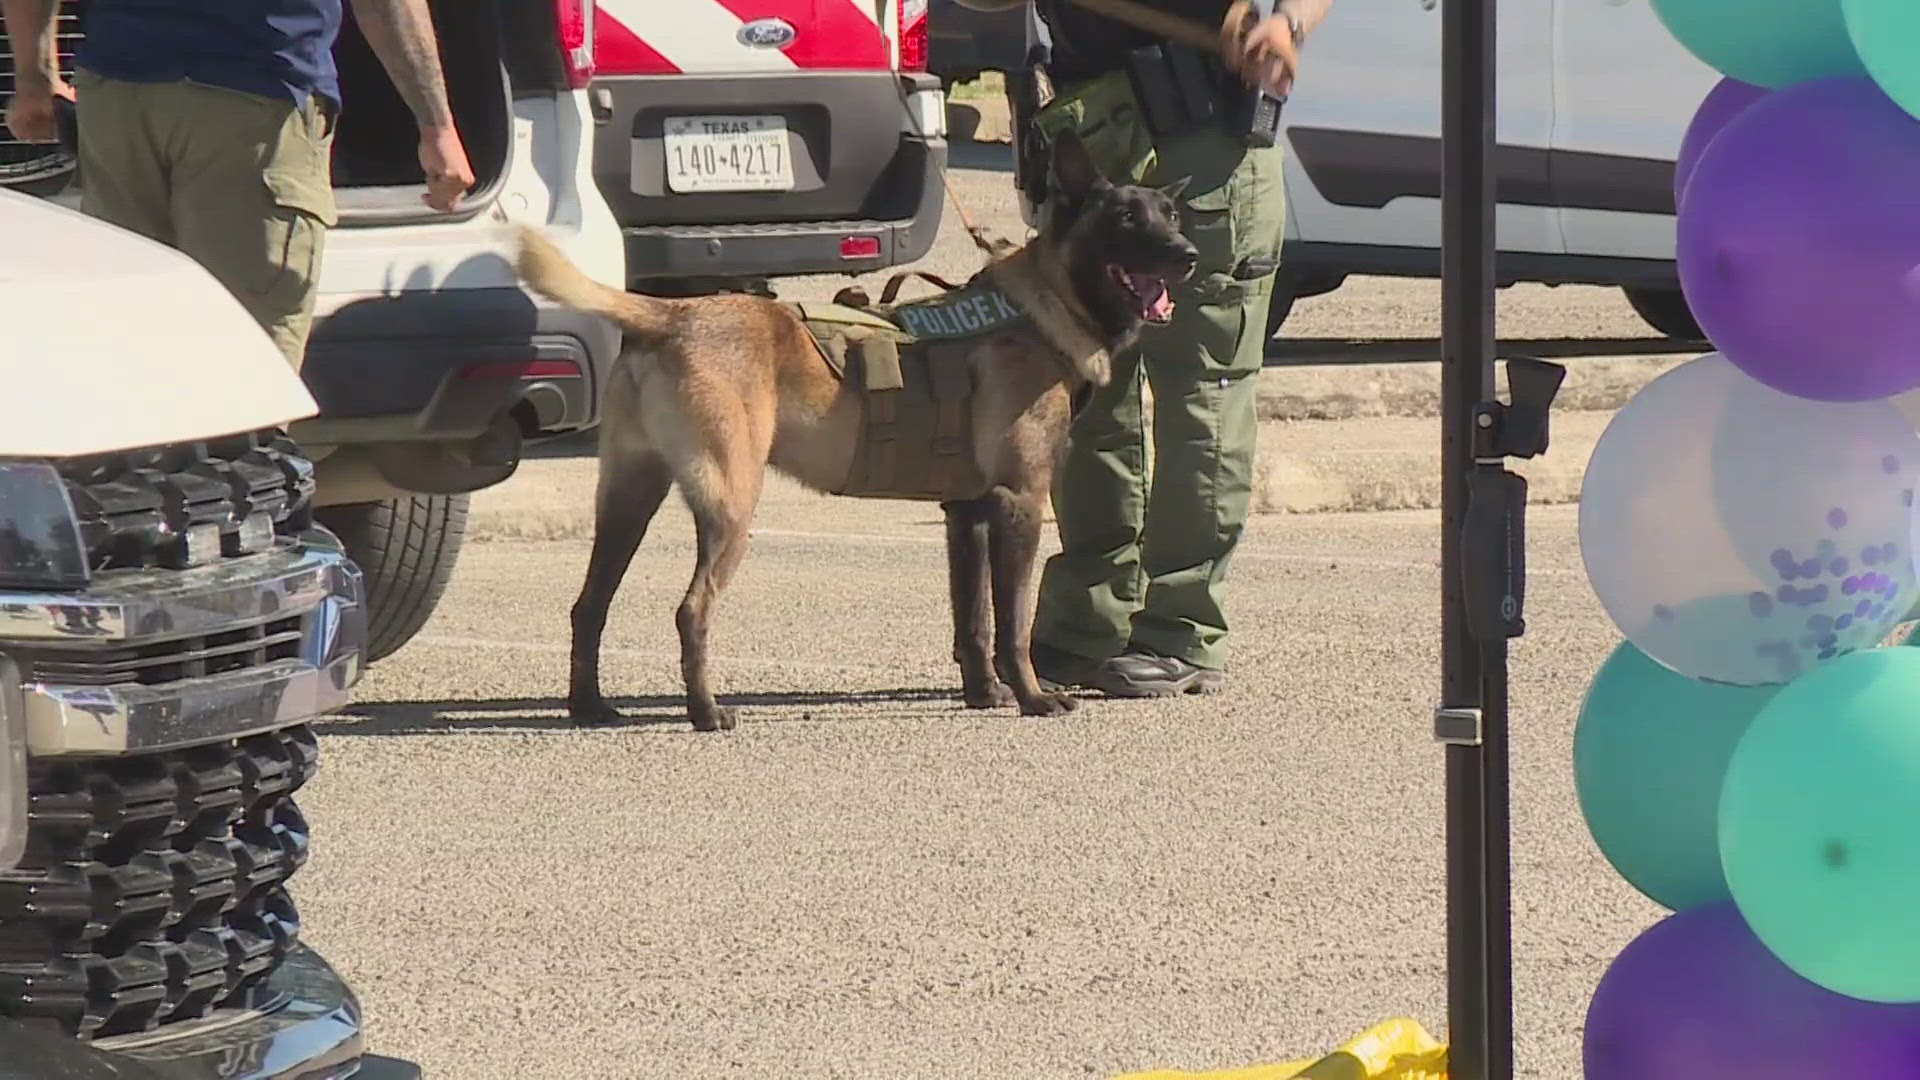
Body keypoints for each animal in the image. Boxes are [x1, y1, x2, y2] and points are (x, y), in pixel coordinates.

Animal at [518, 130, 1190, 726]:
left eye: (1171, 214)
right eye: (1126, 218)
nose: (1187, 254)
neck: (1043, 306)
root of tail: (671, 313)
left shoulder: (967, 515)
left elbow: (973, 620)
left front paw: (984, 693)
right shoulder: (1019, 506)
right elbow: (1014, 622)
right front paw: (1033, 697)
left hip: (629, 500)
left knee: (588, 605)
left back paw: (590, 707)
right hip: (731, 506)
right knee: (691, 610)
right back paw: (707, 712)